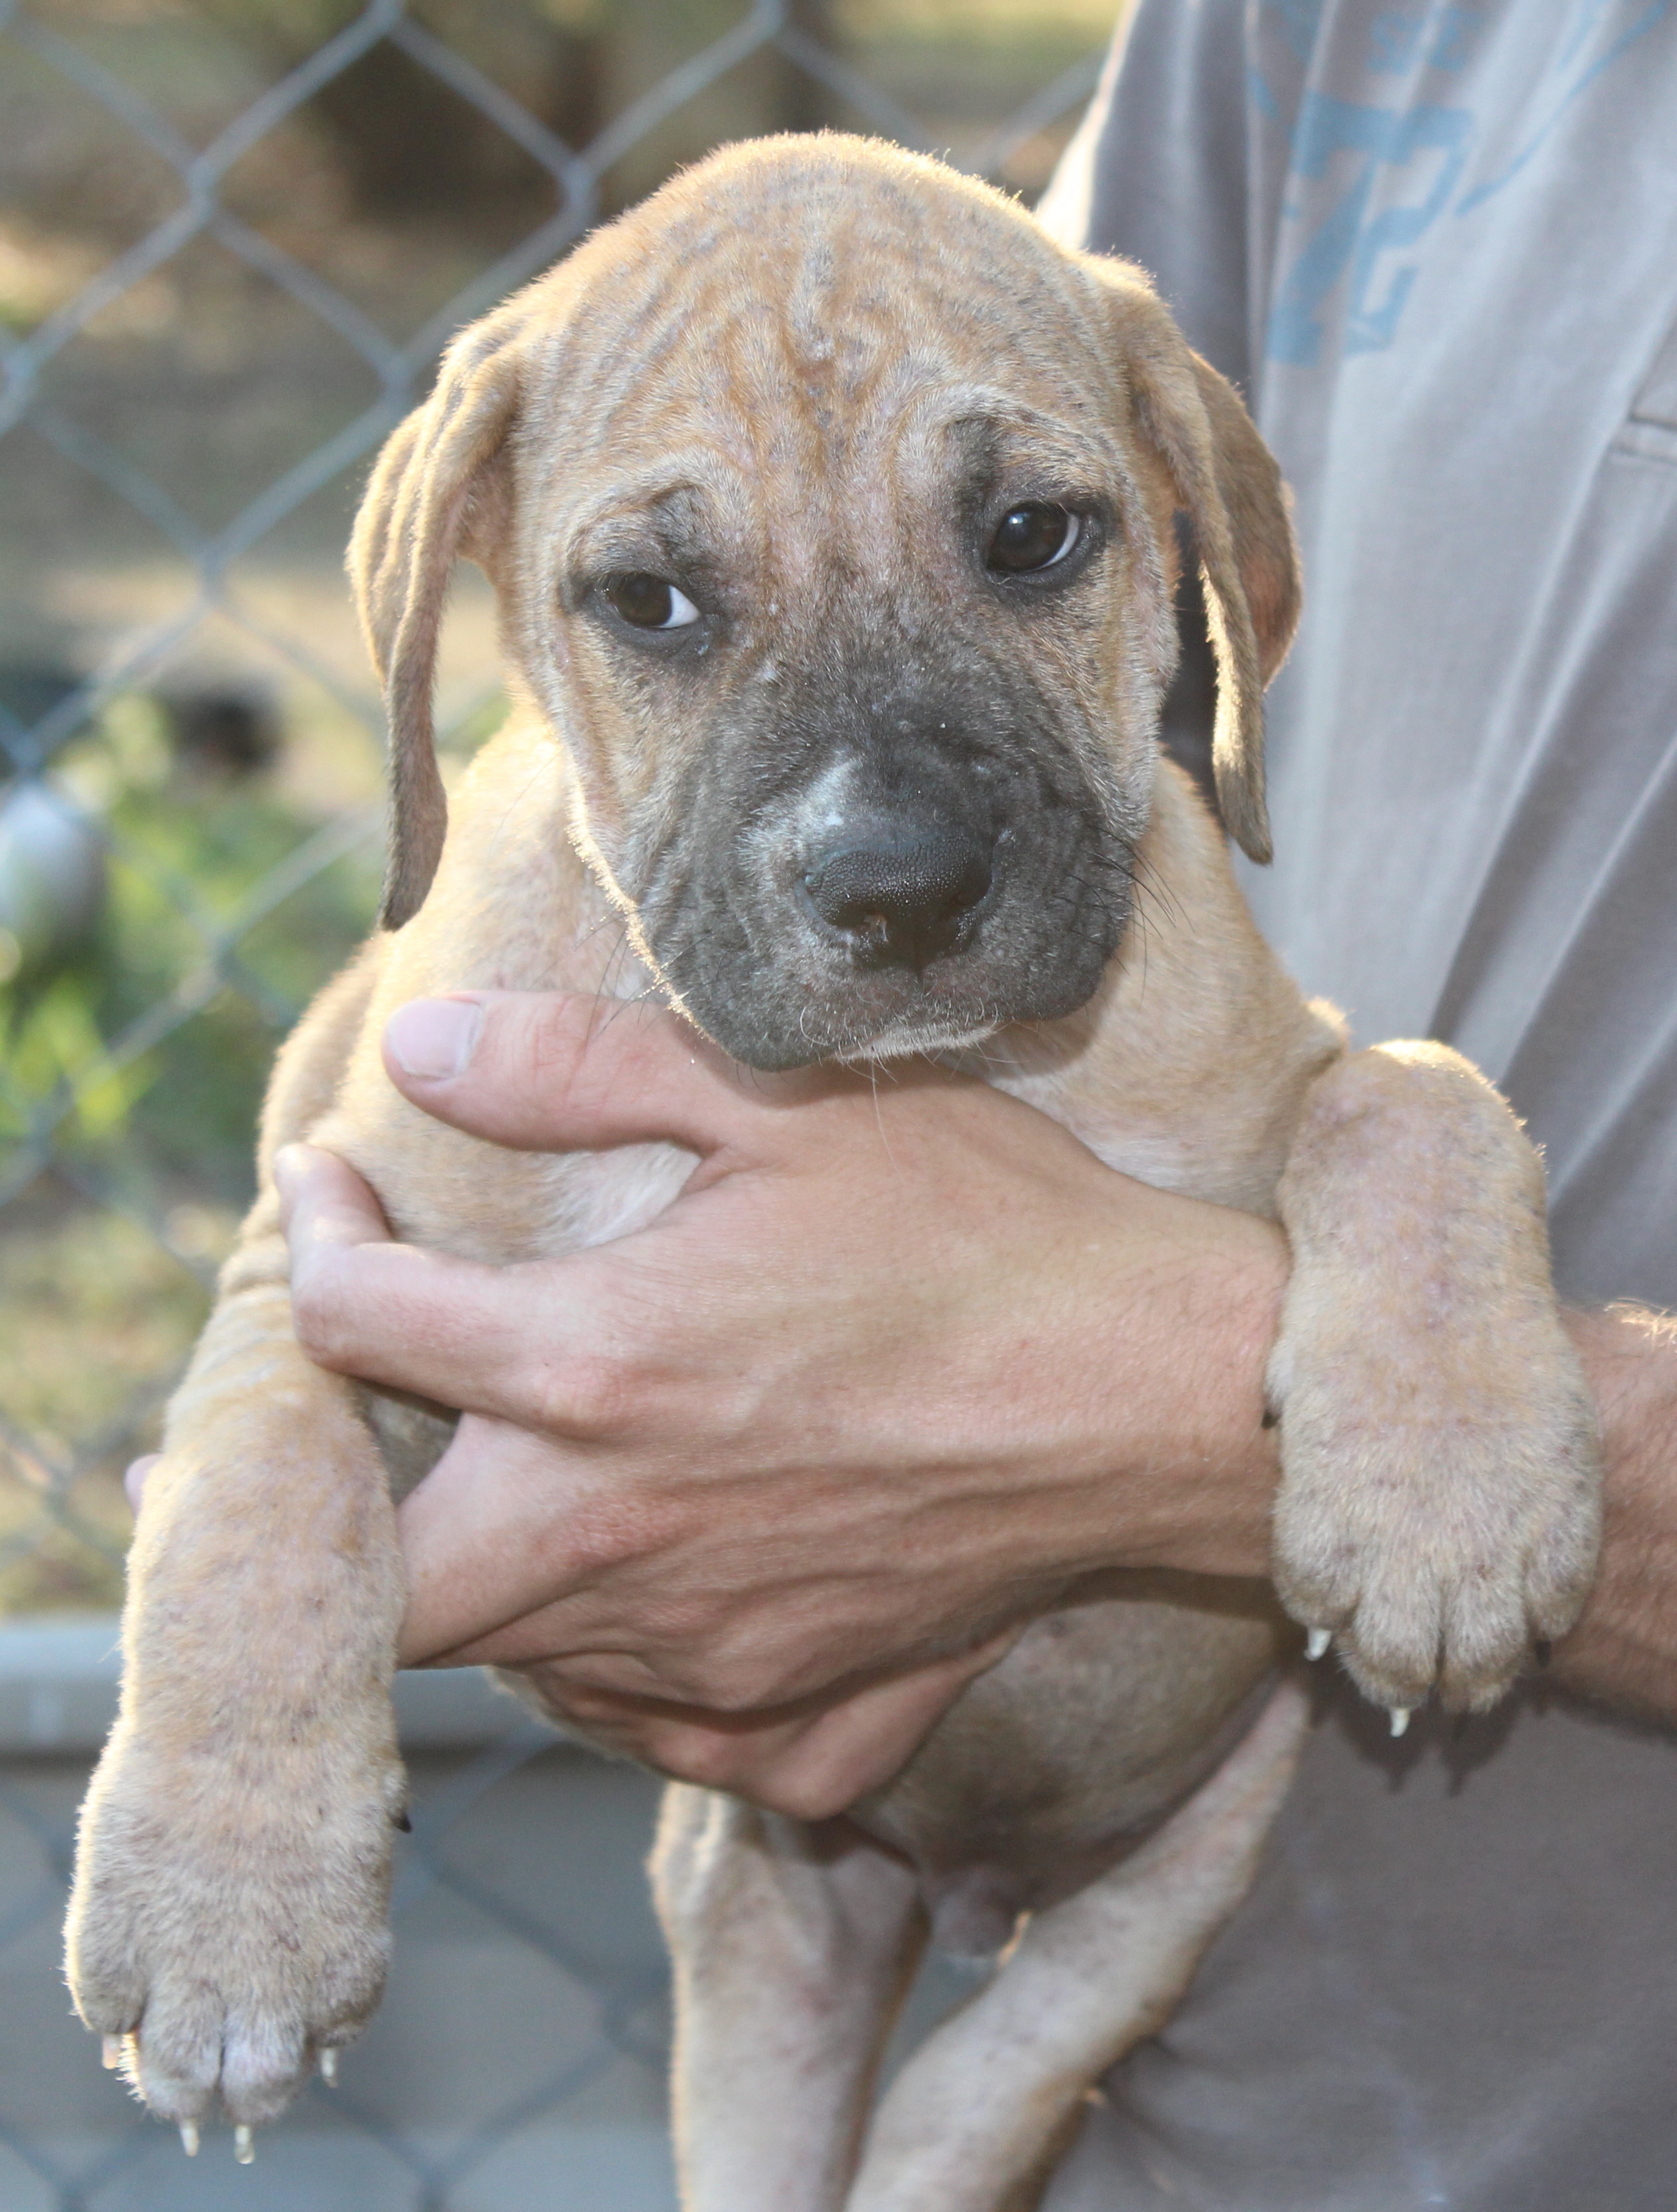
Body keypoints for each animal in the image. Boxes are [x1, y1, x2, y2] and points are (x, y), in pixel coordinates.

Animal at [64, 136, 1602, 2208]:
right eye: (646, 599)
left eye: (1031, 535)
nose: (895, 886)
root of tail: (955, 1882)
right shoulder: (307, 1265)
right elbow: (254, 1504)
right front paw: (223, 1908)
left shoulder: (1307, 1069)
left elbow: (1417, 1097)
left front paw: (1448, 1492)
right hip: (765, 1941)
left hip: (1172, 1878)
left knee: (983, 2091)